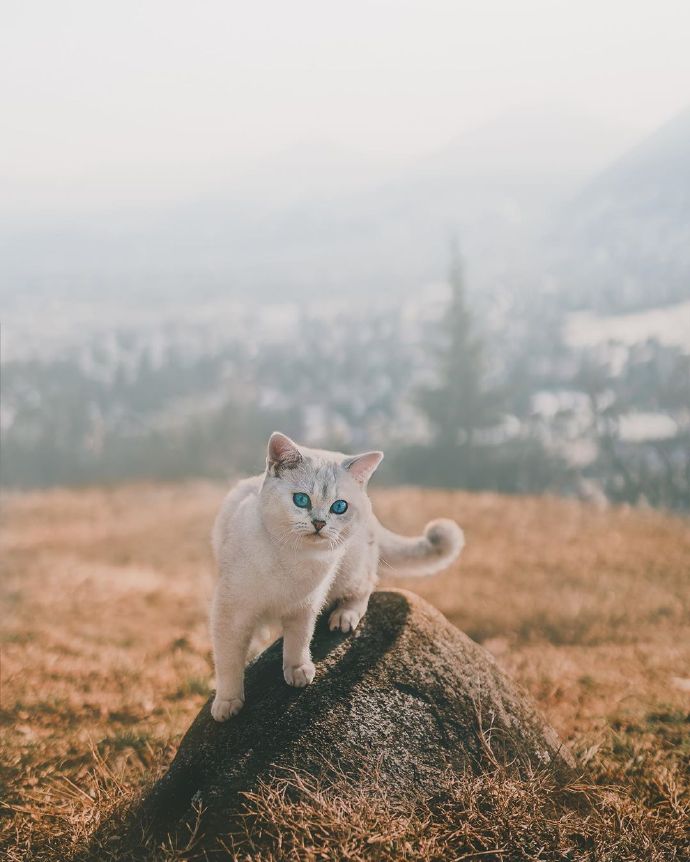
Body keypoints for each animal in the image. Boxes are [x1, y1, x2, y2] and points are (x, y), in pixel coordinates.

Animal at [207, 432, 460, 724]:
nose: (319, 523)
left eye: (339, 507)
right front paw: (227, 703)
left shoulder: (305, 605)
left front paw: (297, 670)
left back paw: (344, 617)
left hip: (350, 569)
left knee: (366, 587)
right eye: (301, 500)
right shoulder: (231, 613)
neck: (293, 558)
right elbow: (228, 660)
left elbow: (299, 640)